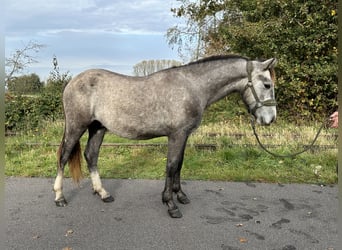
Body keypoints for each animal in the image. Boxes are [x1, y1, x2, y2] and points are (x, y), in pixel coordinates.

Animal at [54, 54, 278, 217]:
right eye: (267, 85)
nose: (270, 119)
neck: (193, 87)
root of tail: (72, 82)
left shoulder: (184, 135)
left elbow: (179, 164)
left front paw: (181, 196)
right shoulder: (176, 135)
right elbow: (171, 165)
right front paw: (170, 204)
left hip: (98, 128)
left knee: (91, 156)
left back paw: (103, 194)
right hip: (76, 126)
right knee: (63, 157)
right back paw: (60, 198)